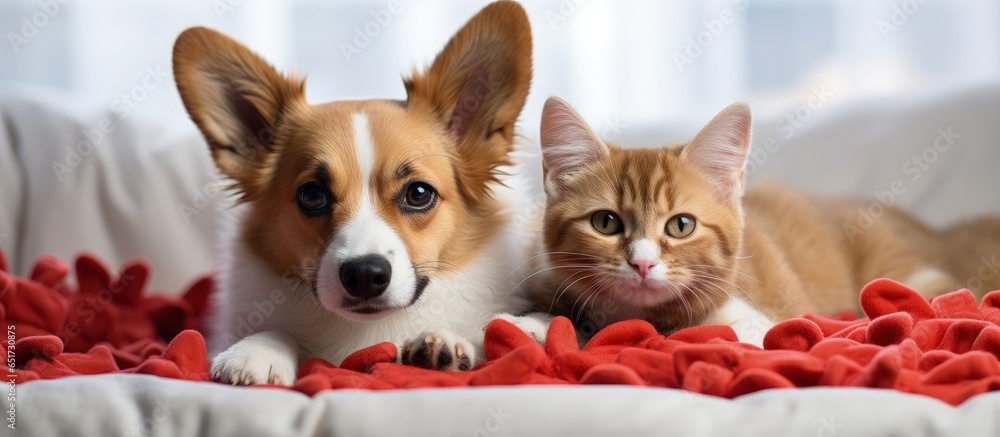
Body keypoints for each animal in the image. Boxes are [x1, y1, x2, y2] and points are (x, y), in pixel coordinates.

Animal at [170, 1, 540, 384]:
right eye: (312, 195)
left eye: (419, 193)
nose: (364, 276)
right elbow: (277, 330)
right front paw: (257, 350)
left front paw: (441, 342)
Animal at [524, 97, 1000, 346]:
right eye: (605, 222)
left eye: (681, 226)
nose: (642, 264)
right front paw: (535, 324)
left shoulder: (756, 320)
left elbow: (695, 332)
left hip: (910, 275)